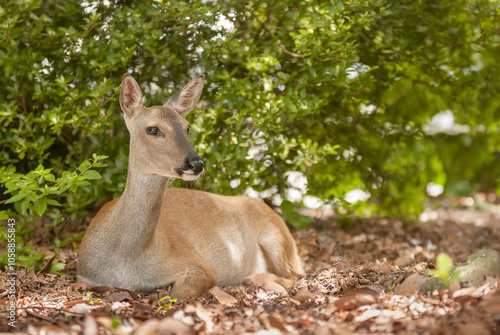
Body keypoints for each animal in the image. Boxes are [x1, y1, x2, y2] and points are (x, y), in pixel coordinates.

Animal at [77, 73, 304, 300]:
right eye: (153, 129)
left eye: (187, 127)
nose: (196, 163)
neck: (127, 262)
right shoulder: (84, 276)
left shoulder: (197, 263)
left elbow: (180, 292)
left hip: (278, 239)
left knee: (297, 275)